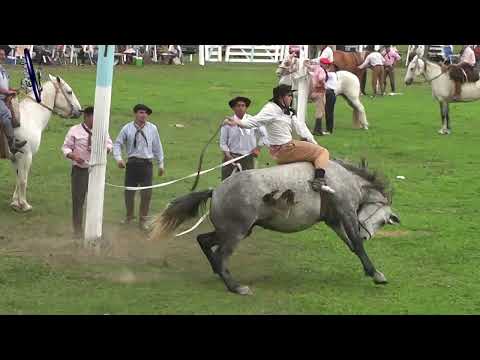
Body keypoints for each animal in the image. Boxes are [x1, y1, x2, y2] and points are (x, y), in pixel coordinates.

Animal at [8, 75, 82, 211]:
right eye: (69, 91)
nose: (80, 110)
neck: (31, 117)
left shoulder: (15, 157)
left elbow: (18, 178)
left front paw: (15, 202)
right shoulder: (26, 156)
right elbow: (23, 180)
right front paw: (24, 204)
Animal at [152, 159, 400, 294]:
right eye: (382, 221)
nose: (366, 234)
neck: (343, 179)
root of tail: (216, 191)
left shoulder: (334, 220)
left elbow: (352, 246)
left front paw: (371, 271)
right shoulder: (346, 213)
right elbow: (357, 244)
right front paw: (376, 273)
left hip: (233, 231)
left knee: (204, 241)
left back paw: (218, 272)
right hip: (236, 233)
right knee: (221, 255)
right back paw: (235, 286)